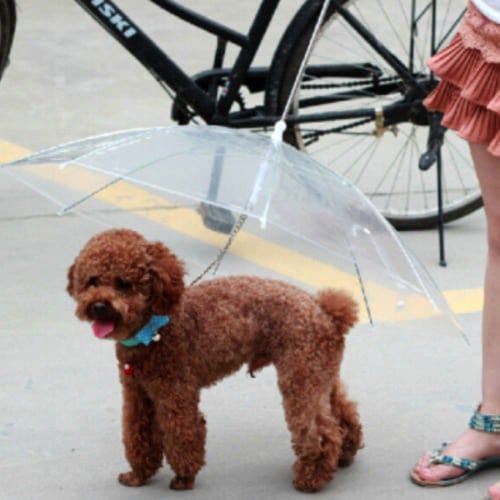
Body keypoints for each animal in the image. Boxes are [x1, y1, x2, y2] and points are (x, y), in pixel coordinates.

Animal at [67, 229, 364, 492]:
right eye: (92, 280)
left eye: (124, 284)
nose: (99, 306)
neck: (155, 328)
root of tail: (325, 311)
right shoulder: (138, 394)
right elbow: (138, 435)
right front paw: (139, 475)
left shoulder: (175, 393)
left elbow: (182, 433)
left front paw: (184, 478)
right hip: (320, 374)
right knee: (342, 414)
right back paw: (345, 455)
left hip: (300, 378)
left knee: (320, 432)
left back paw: (311, 478)